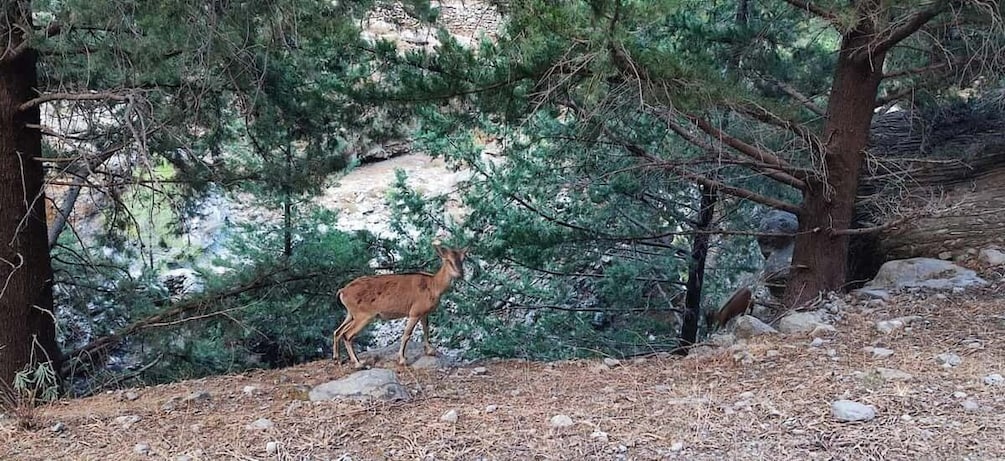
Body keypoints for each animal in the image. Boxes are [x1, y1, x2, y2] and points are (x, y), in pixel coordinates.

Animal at [333, 243, 467, 368]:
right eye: (448, 260)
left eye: (463, 259)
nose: (460, 274)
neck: (434, 286)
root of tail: (342, 292)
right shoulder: (415, 312)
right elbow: (407, 334)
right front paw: (402, 360)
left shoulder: (424, 313)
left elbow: (426, 330)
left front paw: (430, 351)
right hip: (364, 315)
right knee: (347, 334)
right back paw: (358, 363)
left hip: (351, 314)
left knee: (338, 331)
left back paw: (337, 359)